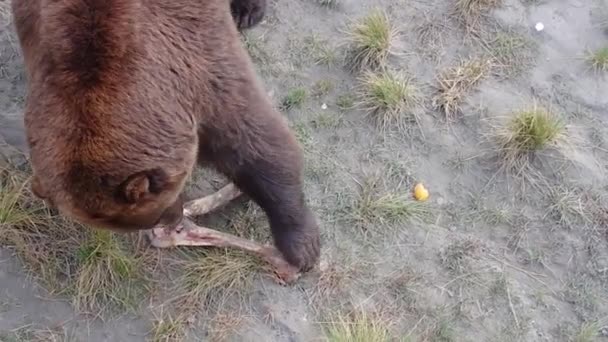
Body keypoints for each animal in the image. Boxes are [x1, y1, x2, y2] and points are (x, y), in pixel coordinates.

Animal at [11, 0, 320, 272]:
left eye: (155, 211)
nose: (172, 221)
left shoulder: (193, 58)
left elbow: (255, 143)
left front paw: (302, 246)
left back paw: (247, 11)